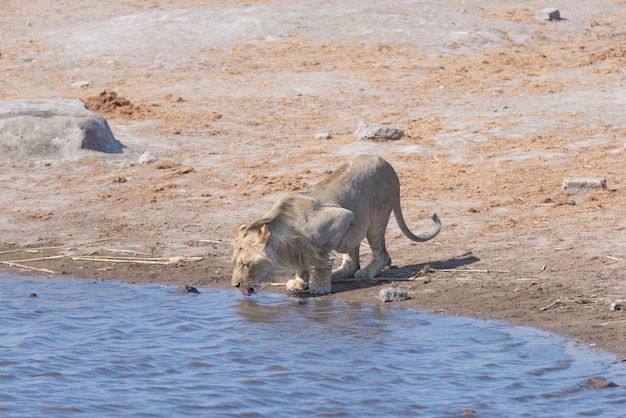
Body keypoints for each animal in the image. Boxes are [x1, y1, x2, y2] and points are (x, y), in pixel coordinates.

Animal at [232, 155, 442, 296]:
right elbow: (303, 262)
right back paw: (338, 274)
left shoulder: (341, 217)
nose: (235, 286)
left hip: (374, 217)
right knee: (351, 262)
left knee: (382, 255)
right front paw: (300, 282)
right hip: (355, 227)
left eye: (245, 264)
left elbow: (321, 259)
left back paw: (366, 272)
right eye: (235, 263)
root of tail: (387, 164)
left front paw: (319, 285)